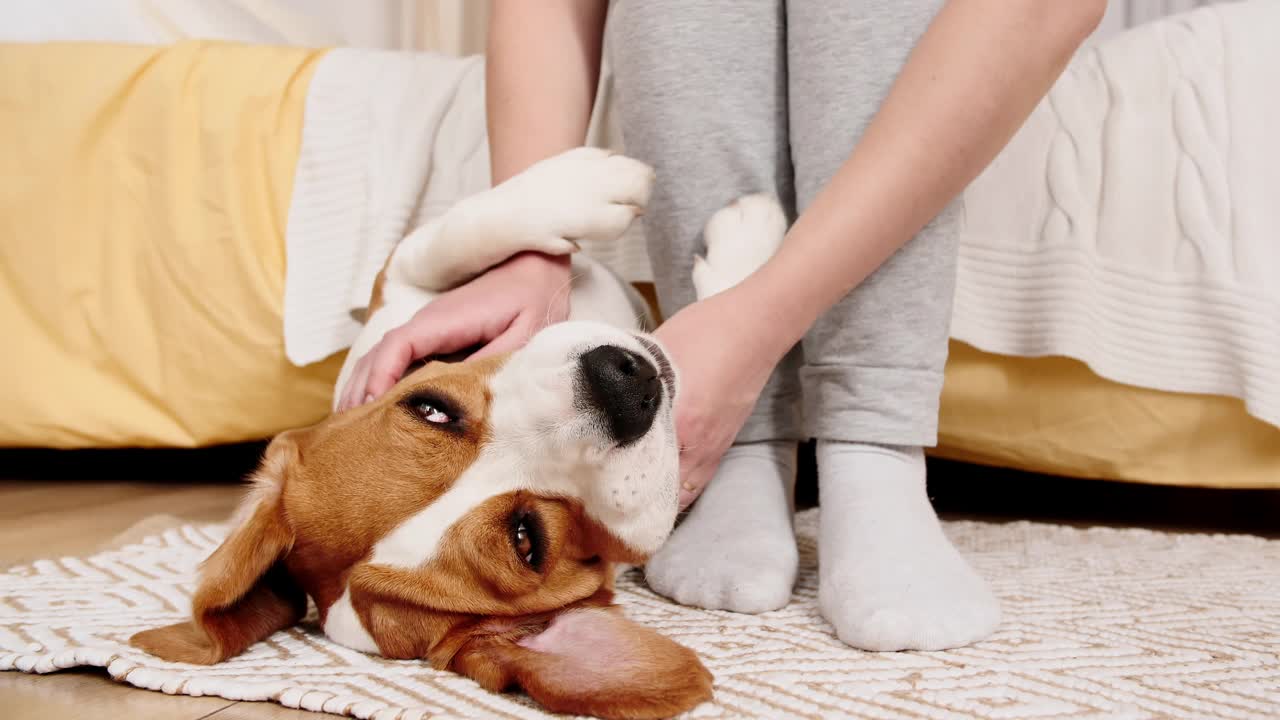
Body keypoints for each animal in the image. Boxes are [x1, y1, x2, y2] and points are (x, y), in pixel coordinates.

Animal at [132, 147, 788, 717]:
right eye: (528, 540)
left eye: (431, 408)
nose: (621, 386)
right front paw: (747, 243)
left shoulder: (398, 299)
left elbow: (445, 238)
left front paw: (585, 185)